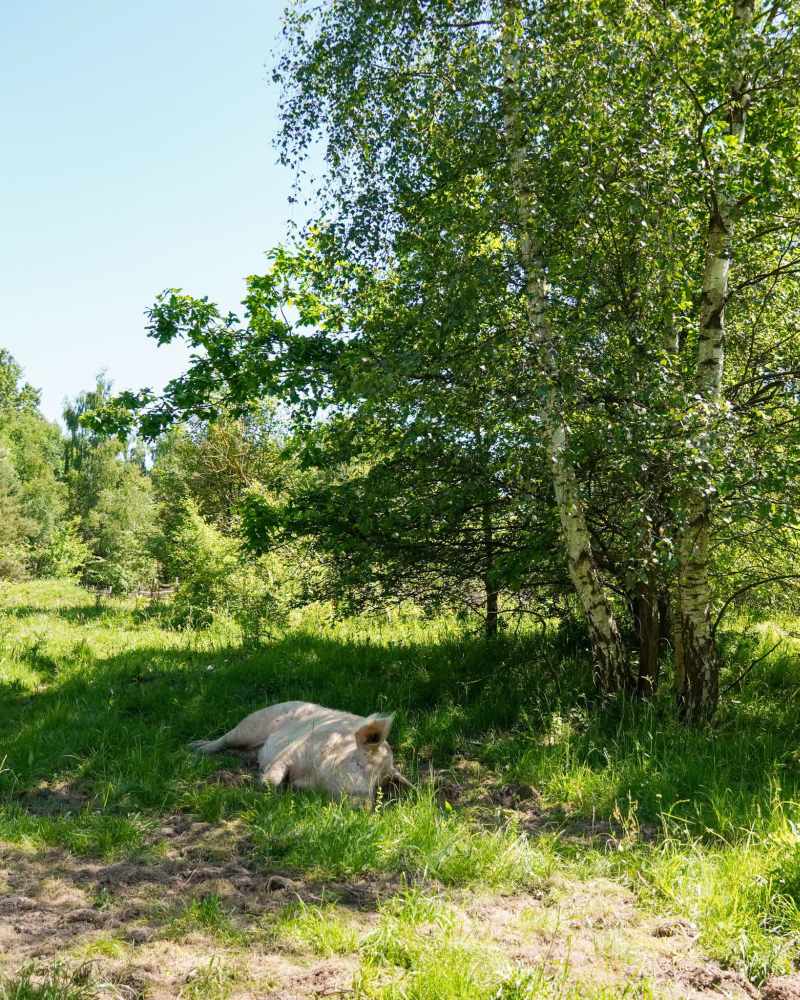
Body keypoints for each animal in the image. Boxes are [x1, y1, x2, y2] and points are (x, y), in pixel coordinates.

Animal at [189, 700, 410, 804]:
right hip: (250, 726)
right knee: (224, 739)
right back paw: (195, 747)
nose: (365, 806)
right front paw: (265, 783)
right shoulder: (294, 748)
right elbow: (274, 776)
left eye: (378, 783)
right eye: (359, 763)